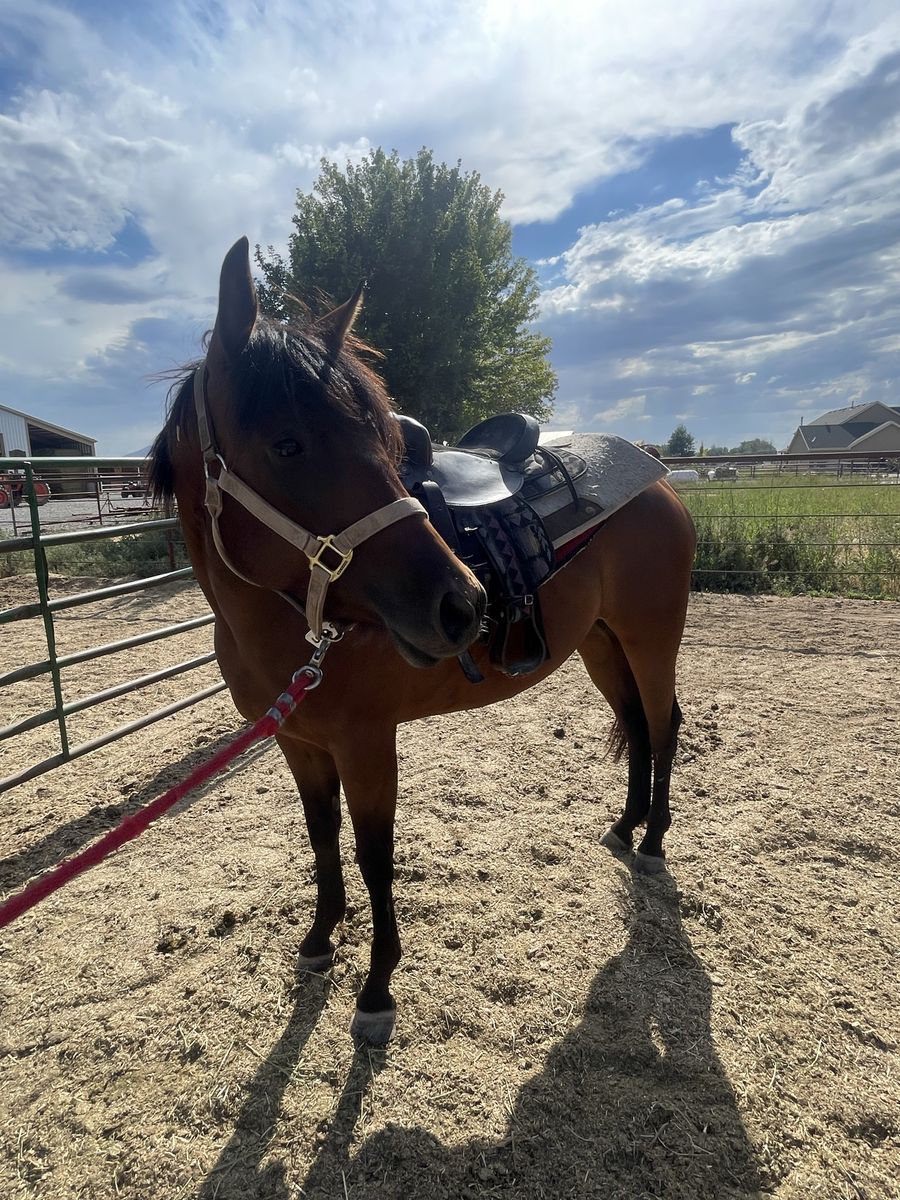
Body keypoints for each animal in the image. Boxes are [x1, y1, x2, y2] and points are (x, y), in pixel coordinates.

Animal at [149, 238, 696, 1045]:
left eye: (380, 439)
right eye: (287, 443)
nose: (463, 603)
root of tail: (658, 478)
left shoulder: (367, 744)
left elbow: (375, 856)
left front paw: (376, 987)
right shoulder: (298, 742)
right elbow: (321, 836)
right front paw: (321, 938)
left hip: (650, 637)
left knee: (662, 725)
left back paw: (654, 840)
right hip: (601, 644)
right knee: (632, 721)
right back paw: (626, 827)